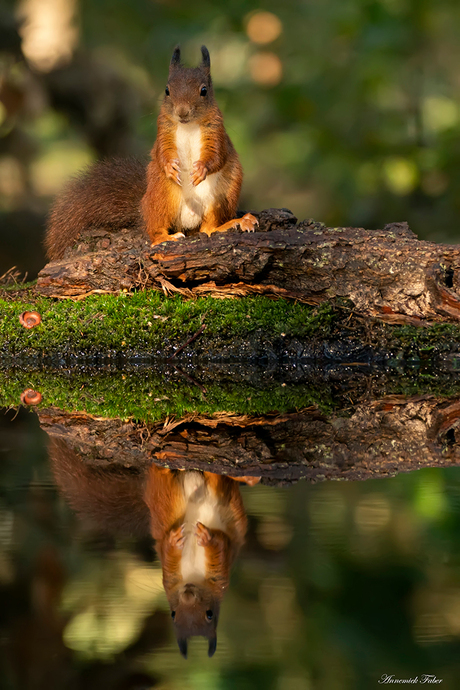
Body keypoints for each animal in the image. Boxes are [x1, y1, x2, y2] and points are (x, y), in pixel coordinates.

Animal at [44, 45, 256, 260]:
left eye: (204, 91)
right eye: (167, 90)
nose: (182, 112)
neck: (187, 126)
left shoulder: (216, 133)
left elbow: (217, 156)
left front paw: (201, 170)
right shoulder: (163, 132)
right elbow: (161, 153)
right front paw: (170, 167)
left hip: (222, 195)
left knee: (208, 228)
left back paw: (231, 224)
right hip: (161, 195)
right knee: (155, 228)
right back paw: (164, 238)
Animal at [49, 436, 262, 656]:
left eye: (209, 614)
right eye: (173, 615)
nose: (187, 595)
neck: (193, 574)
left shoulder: (220, 574)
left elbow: (220, 545)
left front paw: (208, 539)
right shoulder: (170, 579)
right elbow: (167, 553)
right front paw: (174, 541)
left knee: (216, 477)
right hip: (165, 499)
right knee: (161, 475)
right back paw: (164, 462)